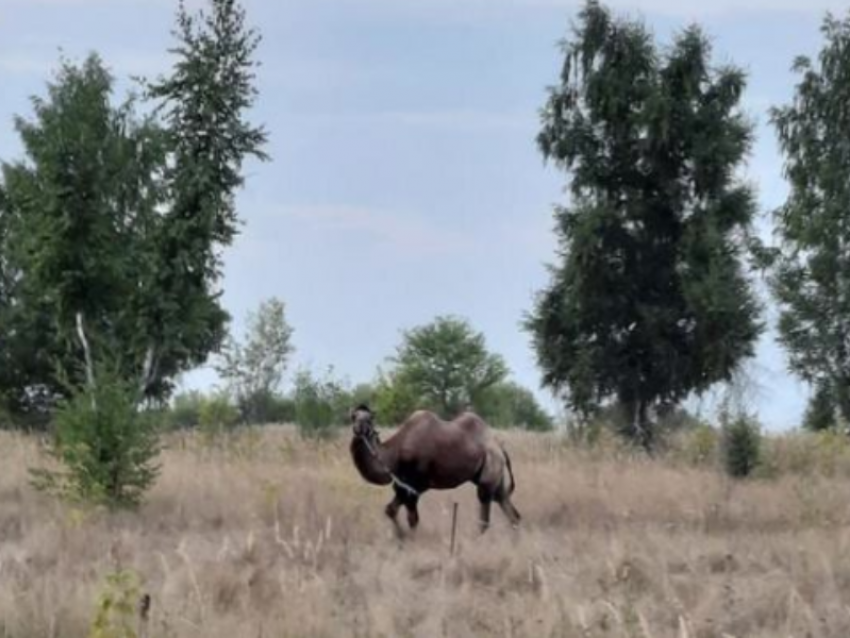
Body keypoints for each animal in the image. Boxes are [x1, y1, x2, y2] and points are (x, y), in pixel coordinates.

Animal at [344, 404, 516, 540]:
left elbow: (412, 519)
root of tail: (500, 447)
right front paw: (401, 538)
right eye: (353, 417)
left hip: (489, 471)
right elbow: (390, 510)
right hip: (494, 476)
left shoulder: (415, 487)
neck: (395, 454)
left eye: (369, 419)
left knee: (485, 511)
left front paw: (410, 541)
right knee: (509, 508)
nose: (359, 429)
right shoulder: (402, 486)